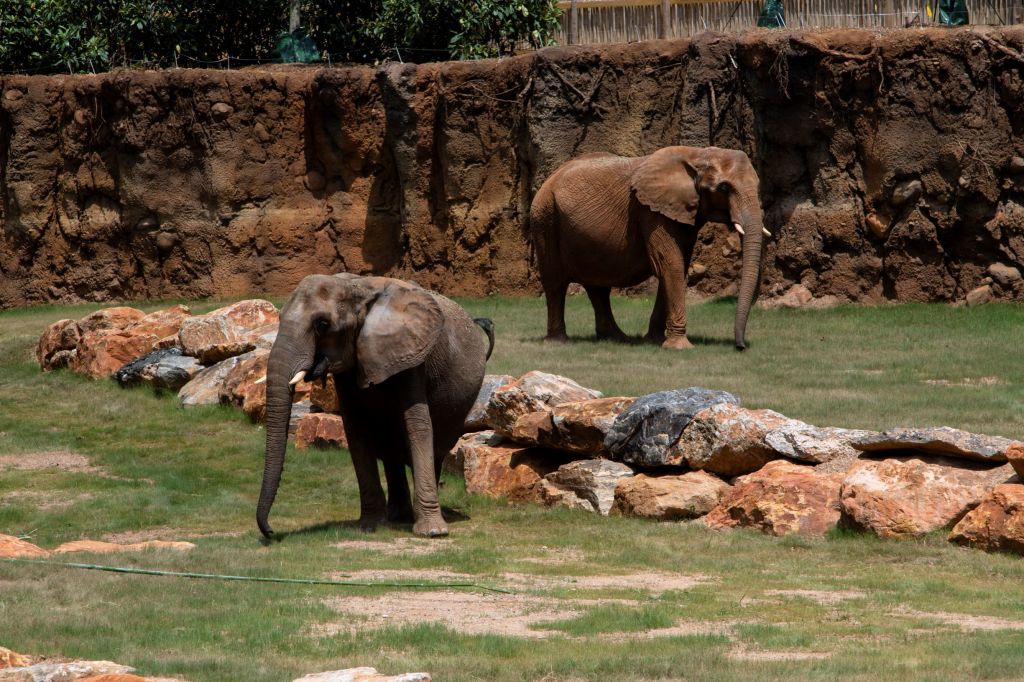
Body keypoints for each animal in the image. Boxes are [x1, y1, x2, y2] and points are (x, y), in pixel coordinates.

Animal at [258, 270, 493, 536]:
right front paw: (369, 526)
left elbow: (418, 425)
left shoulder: (412, 354)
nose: (270, 531)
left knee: (434, 448)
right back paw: (398, 517)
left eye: (322, 325)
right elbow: (355, 428)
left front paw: (433, 533)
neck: (357, 287)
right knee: (390, 450)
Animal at [528, 143, 770, 348]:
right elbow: (669, 264)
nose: (740, 346)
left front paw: (654, 341)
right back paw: (559, 342)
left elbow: (677, 266)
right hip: (545, 217)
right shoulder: (651, 212)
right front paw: (679, 347)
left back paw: (617, 338)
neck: (697, 154)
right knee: (555, 283)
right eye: (724, 188)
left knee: (598, 287)